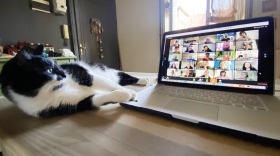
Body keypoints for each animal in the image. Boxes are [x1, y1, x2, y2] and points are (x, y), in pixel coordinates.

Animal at [0, 45, 149, 118]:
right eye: (49, 70)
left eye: (58, 65)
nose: (64, 74)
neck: (54, 88)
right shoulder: (71, 105)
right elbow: (95, 100)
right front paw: (124, 94)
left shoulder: (85, 75)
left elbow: (104, 83)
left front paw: (130, 92)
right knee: (122, 79)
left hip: (109, 72)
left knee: (123, 77)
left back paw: (144, 80)